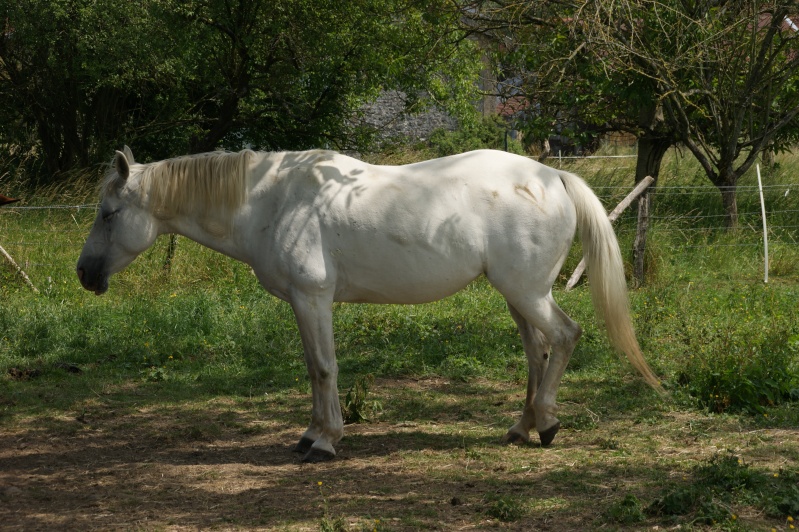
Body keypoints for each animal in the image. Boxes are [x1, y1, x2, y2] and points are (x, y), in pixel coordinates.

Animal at [78, 149, 664, 462]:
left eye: (108, 214)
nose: (84, 275)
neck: (270, 202)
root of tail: (551, 176)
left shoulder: (313, 298)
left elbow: (323, 367)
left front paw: (325, 441)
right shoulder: (302, 303)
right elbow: (312, 369)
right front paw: (310, 434)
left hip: (528, 293)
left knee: (564, 338)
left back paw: (547, 424)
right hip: (519, 296)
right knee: (536, 354)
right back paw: (522, 427)